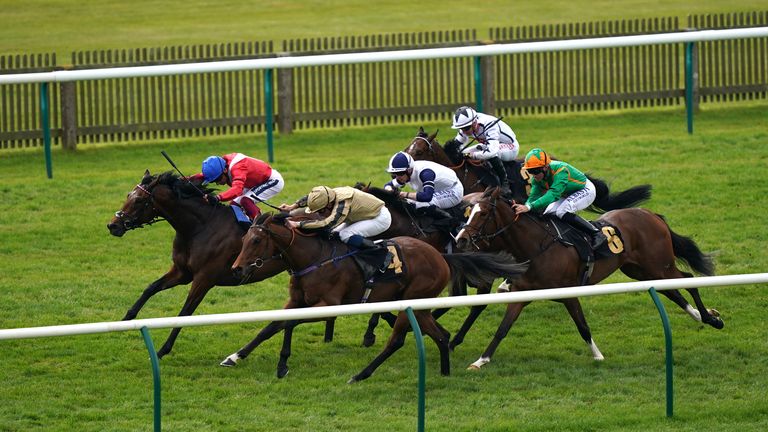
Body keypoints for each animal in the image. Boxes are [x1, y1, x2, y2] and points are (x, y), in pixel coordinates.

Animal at [109, 170, 296, 356]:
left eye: (139, 200)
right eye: (128, 195)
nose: (112, 226)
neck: (199, 228)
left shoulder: (204, 279)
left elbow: (185, 312)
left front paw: (163, 350)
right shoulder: (182, 272)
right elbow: (151, 288)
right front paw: (124, 321)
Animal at [219, 213, 524, 382]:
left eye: (256, 240)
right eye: (243, 239)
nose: (237, 269)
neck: (313, 258)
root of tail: (441, 256)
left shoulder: (329, 305)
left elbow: (289, 324)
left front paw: (282, 366)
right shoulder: (296, 301)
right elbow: (271, 326)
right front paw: (235, 356)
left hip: (412, 302)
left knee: (397, 341)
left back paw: (360, 375)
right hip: (420, 307)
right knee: (441, 335)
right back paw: (444, 371)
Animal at [456, 189, 728, 372]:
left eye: (482, 214)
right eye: (467, 213)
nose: (460, 239)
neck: (535, 247)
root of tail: (651, 214)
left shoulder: (568, 293)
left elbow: (583, 326)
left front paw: (598, 356)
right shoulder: (523, 294)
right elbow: (503, 328)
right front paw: (481, 360)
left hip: (659, 265)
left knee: (688, 280)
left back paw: (710, 319)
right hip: (640, 271)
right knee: (672, 291)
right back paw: (700, 315)